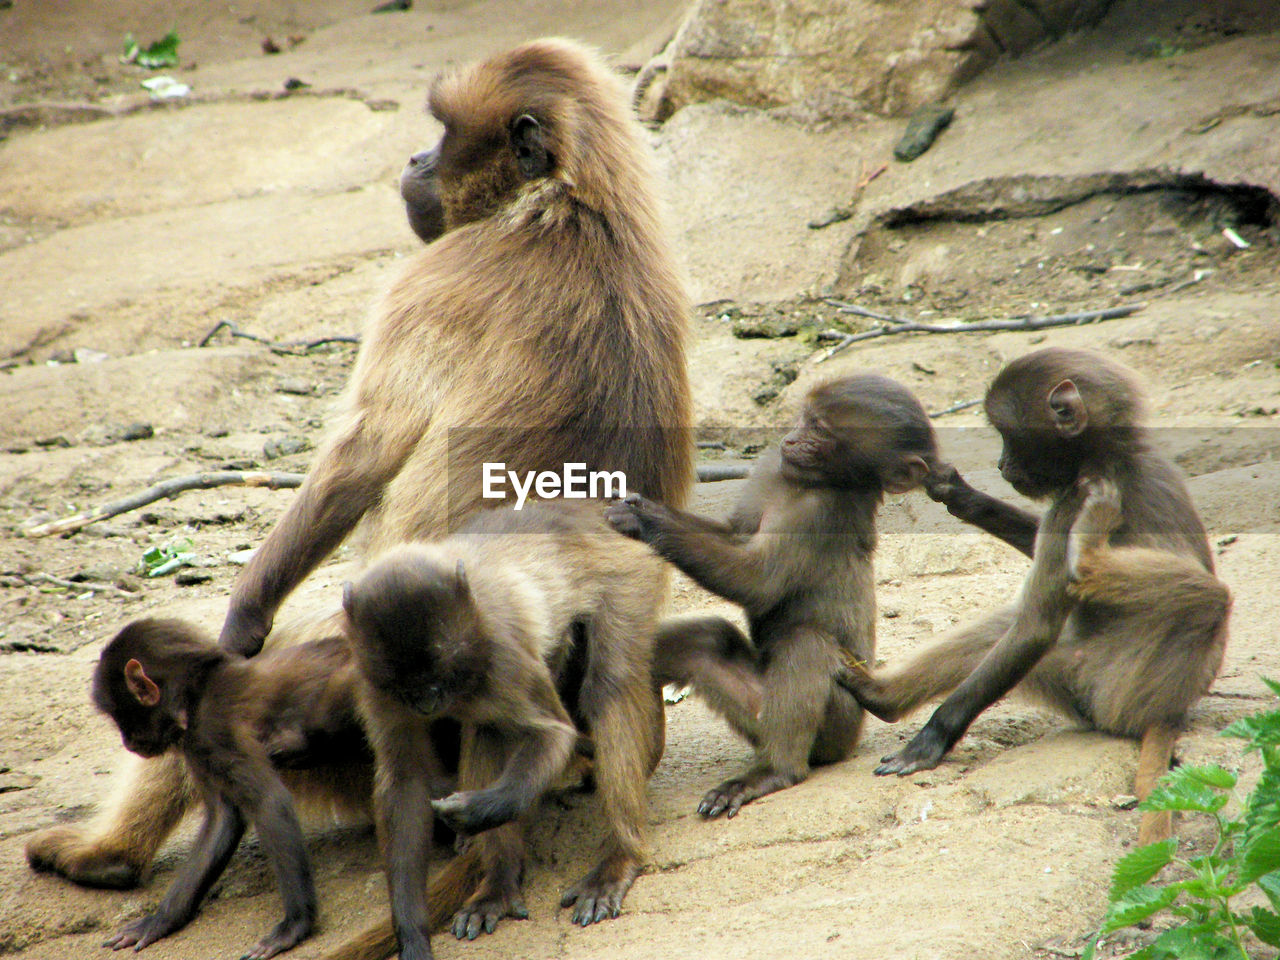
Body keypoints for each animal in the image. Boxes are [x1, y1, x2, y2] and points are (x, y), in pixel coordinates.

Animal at [24, 35, 691, 901]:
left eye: (442, 134)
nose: (413, 158)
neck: (571, 207)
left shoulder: (434, 281)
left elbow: (364, 450)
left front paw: (244, 613)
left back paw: (105, 855)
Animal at [88, 619, 371, 957]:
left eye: (122, 719)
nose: (127, 743)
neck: (194, 696)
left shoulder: (212, 729)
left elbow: (269, 801)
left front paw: (295, 925)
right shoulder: (194, 747)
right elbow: (225, 817)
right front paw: (162, 920)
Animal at [340, 499, 665, 960]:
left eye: (440, 667)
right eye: (406, 683)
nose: (428, 701)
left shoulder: (500, 648)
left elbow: (555, 734)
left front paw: (475, 811)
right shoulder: (373, 679)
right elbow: (405, 782)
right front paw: (413, 935)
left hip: (627, 574)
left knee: (609, 685)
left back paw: (619, 857)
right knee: (489, 728)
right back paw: (498, 882)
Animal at [604, 376, 936, 819]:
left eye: (820, 431)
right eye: (805, 418)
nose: (790, 440)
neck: (806, 484)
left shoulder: (818, 512)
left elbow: (756, 579)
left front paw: (644, 518)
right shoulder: (770, 469)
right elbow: (734, 536)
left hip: (839, 726)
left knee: (805, 644)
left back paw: (775, 772)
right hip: (753, 709)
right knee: (707, 641)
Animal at [839, 350, 1228, 844]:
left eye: (1009, 435)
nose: (1001, 464)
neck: (1109, 452)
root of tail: (1172, 706)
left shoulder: (1076, 497)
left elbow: (1038, 626)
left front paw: (932, 738)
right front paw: (961, 495)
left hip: (1106, 691)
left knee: (1209, 597)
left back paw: (1090, 561)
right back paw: (880, 696)